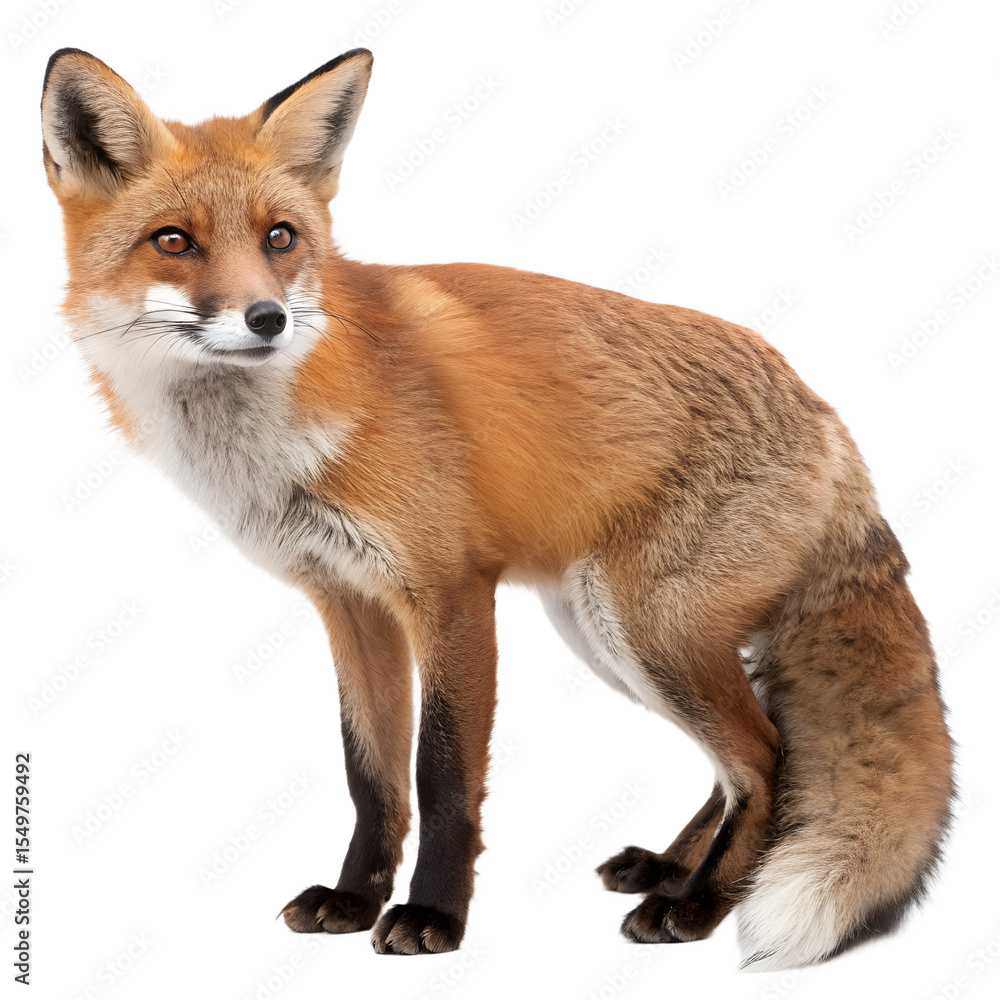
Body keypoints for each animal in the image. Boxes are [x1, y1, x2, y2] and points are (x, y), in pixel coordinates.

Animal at [41, 46, 954, 969]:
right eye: (174, 241)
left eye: (280, 237)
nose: (266, 318)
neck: (281, 439)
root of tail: (828, 419)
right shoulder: (348, 603)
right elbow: (371, 777)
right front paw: (352, 900)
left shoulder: (451, 592)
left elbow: (442, 777)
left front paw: (432, 918)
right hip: (607, 633)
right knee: (740, 761)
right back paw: (671, 871)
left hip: (648, 628)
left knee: (770, 758)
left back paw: (698, 907)